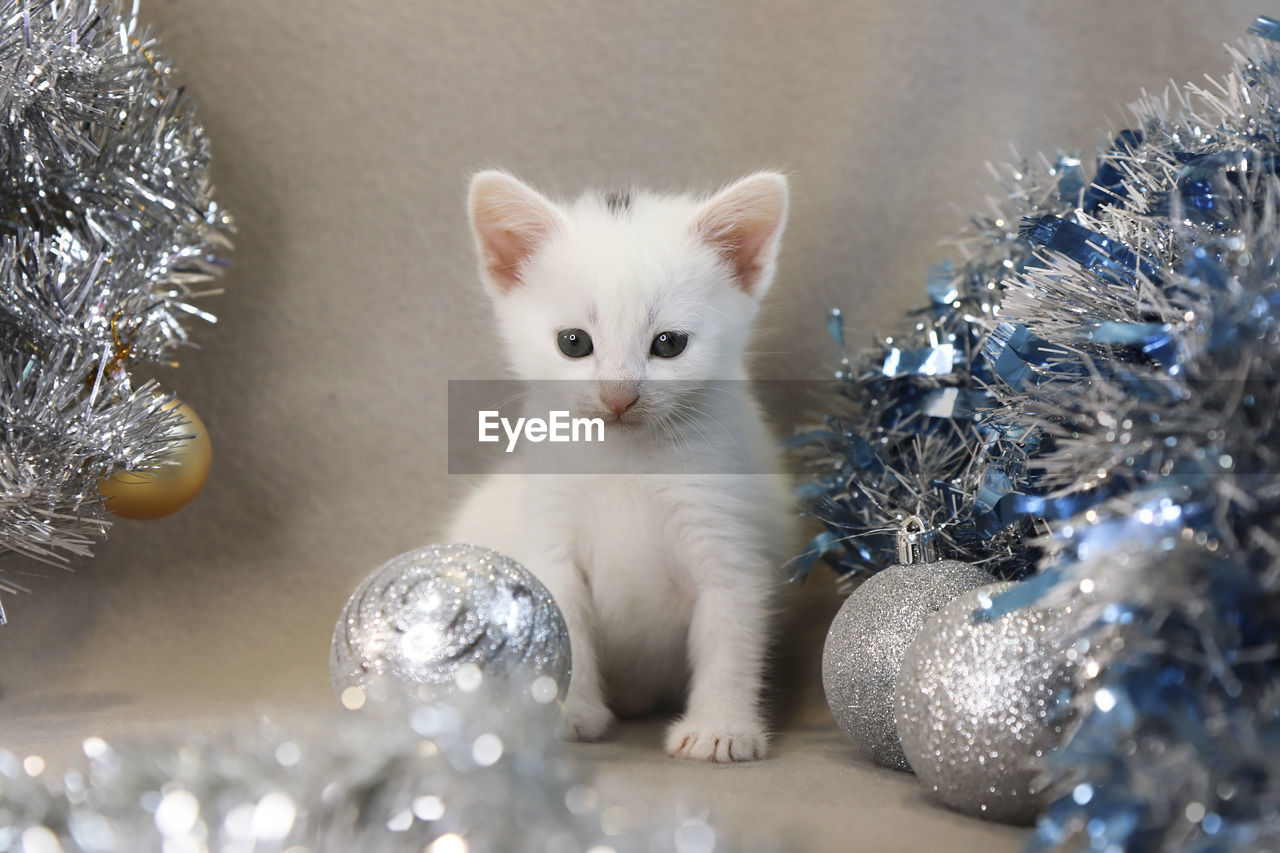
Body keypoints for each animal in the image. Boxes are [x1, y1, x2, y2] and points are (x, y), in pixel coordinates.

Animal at [445, 169, 793, 758]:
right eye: (573, 342)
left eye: (668, 344)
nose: (619, 396)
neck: (627, 459)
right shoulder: (551, 530)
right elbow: (561, 618)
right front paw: (566, 713)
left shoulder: (729, 532)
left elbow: (732, 630)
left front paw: (721, 728)